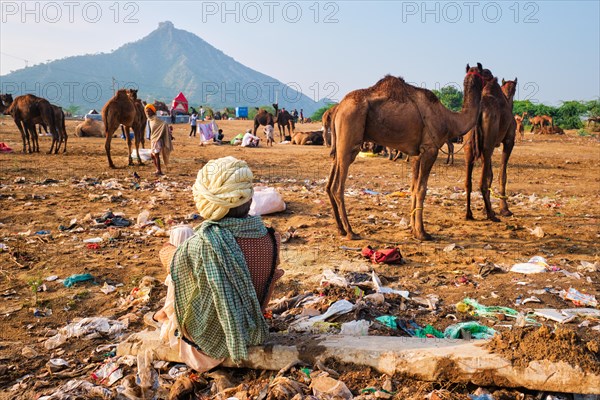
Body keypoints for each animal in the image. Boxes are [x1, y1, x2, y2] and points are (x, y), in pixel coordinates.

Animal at [326, 61, 486, 238]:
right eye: (487, 73)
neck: (449, 120)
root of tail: (338, 108)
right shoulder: (430, 149)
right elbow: (422, 189)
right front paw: (422, 232)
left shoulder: (417, 153)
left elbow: (413, 187)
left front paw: (412, 228)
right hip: (349, 136)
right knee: (338, 187)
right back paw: (350, 231)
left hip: (340, 144)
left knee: (330, 182)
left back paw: (340, 228)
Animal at [462, 76, 516, 223]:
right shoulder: (509, 141)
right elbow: (502, 175)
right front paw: (505, 210)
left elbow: (489, 175)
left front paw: (486, 209)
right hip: (488, 146)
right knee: (482, 181)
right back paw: (492, 216)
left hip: (471, 147)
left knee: (468, 181)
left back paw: (469, 214)